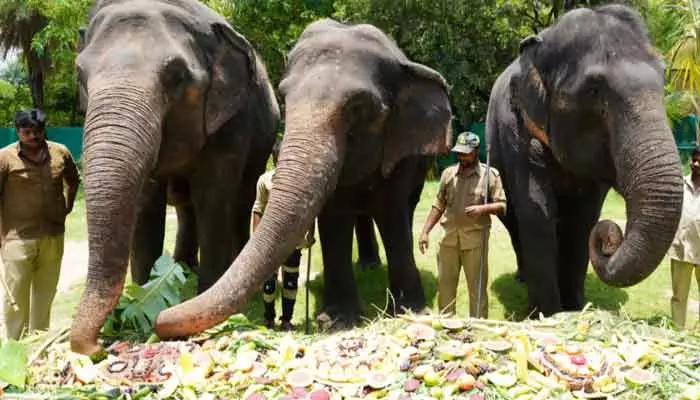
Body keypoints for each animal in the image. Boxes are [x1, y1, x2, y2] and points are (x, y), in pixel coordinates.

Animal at [69, 0, 278, 356]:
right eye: (80, 73)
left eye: (176, 76)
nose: (96, 347)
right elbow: (146, 207)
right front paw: (138, 302)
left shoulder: (232, 121)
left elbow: (213, 198)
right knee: (185, 207)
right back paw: (182, 268)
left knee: (237, 201)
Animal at [154, 18, 454, 338]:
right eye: (285, 98)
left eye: (359, 107)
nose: (160, 318)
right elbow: (334, 218)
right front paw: (337, 320)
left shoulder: (399, 151)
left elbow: (392, 213)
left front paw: (411, 313)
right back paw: (368, 267)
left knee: (405, 209)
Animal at [484, 2, 680, 316]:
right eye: (593, 91)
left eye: (664, 79)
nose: (610, 238)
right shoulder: (514, 132)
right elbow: (537, 208)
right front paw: (546, 314)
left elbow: (584, 217)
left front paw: (575, 308)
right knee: (513, 219)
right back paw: (522, 278)